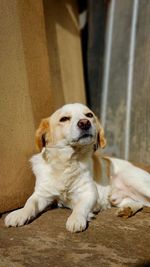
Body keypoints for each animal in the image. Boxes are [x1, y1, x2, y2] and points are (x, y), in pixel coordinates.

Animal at [4, 103, 150, 233]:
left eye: (89, 115)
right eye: (64, 119)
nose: (85, 123)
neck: (67, 162)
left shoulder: (89, 192)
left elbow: (80, 208)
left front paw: (75, 220)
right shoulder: (42, 194)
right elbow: (30, 203)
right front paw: (19, 214)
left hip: (134, 180)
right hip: (119, 197)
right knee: (137, 202)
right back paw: (127, 209)